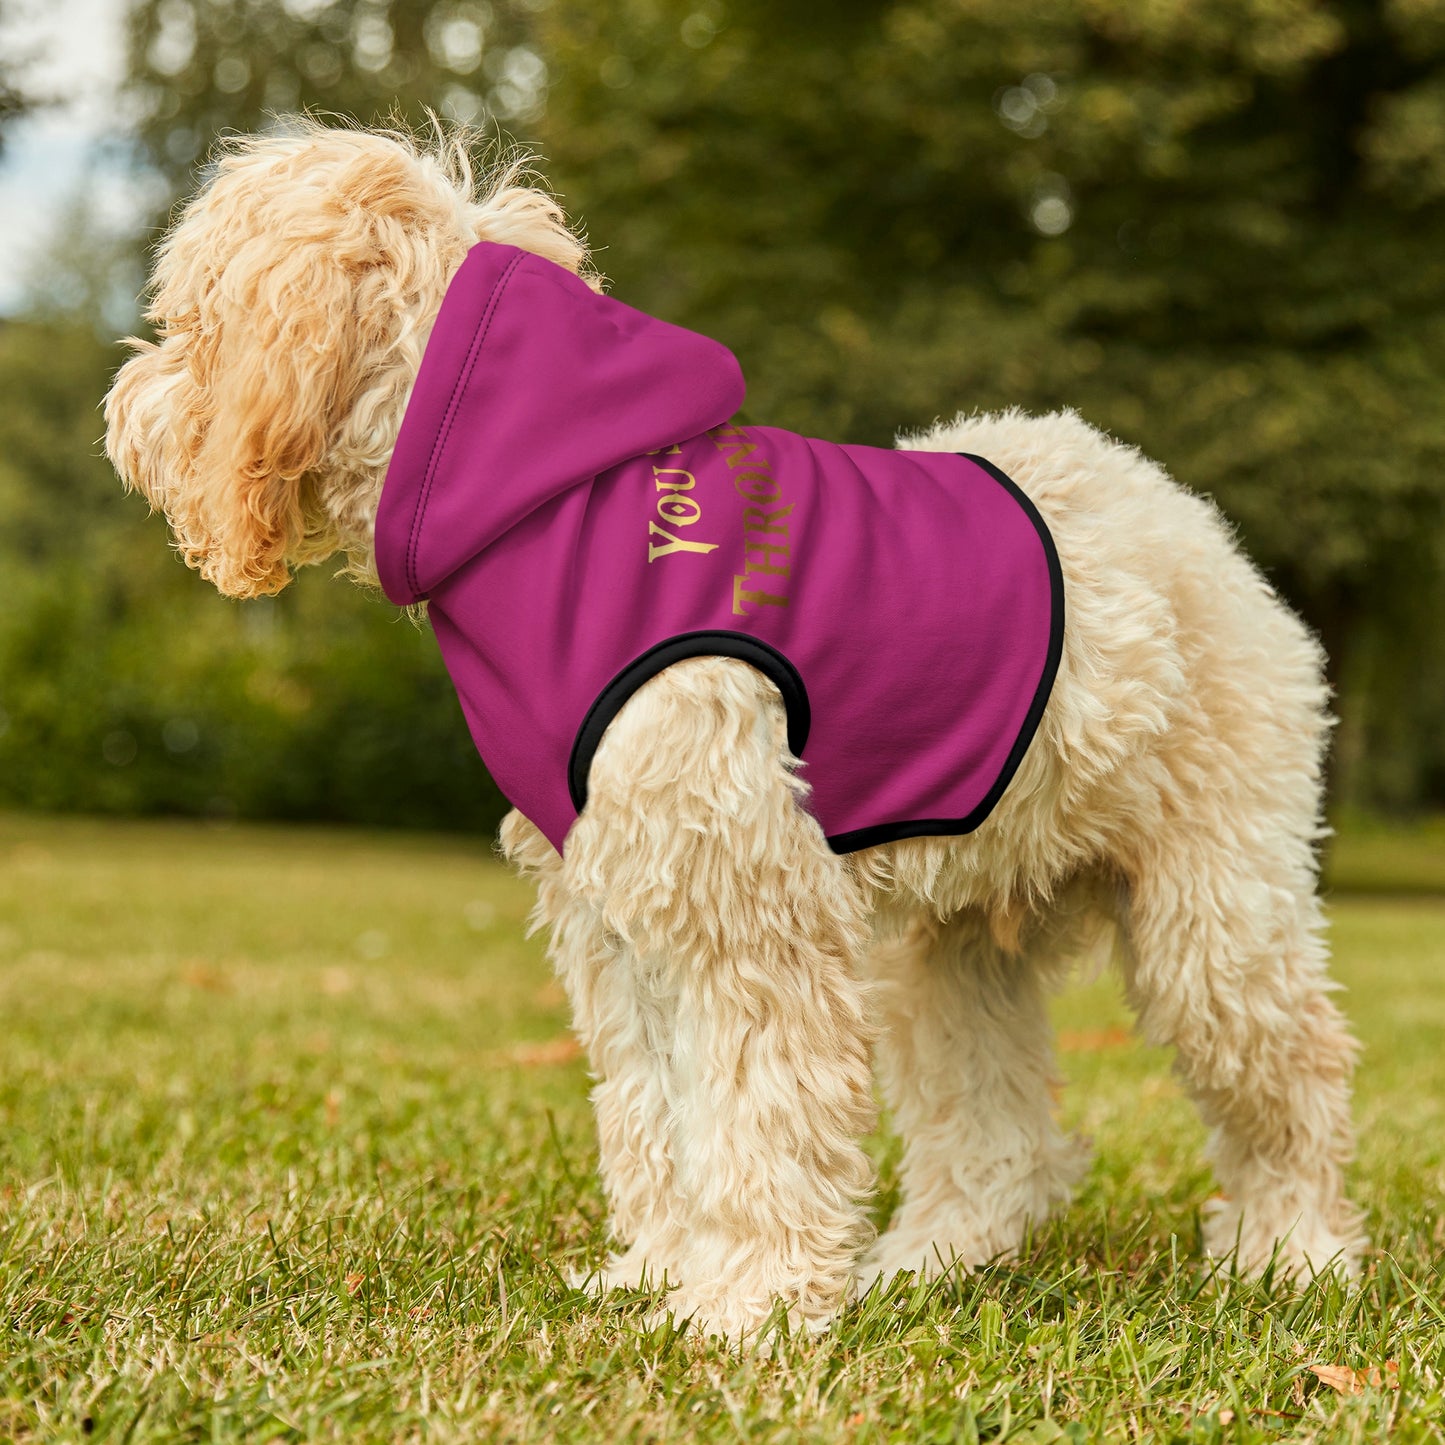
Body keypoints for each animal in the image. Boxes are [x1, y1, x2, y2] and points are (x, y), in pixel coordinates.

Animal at [106, 124, 1358, 1340]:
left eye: (189, 322)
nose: (122, 408)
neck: (548, 500)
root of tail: (1185, 517)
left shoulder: (744, 907)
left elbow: (757, 1116)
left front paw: (745, 1304)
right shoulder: (618, 913)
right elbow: (656, 1111)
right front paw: (661, 1272)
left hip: (1213, 916)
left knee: (1293, 1076)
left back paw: (1290, 1253)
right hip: (950, 948)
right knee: (997, 1134)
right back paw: (931, 1260)